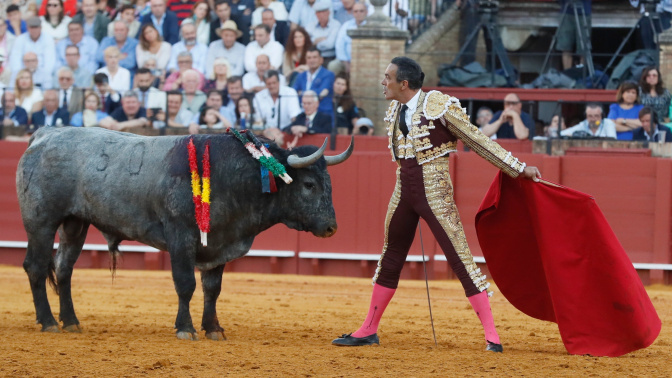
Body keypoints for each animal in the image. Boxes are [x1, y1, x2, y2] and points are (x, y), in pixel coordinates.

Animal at [15, 126, 354, 340]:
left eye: (330, 184)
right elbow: (186, 284)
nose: (331, 227)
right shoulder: (181, 236)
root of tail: (44, 134)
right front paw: (186, 329)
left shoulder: (220, 241)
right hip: (41, 222)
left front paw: (214, 329)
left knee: (64, 268)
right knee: (35, 267)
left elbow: (212, 289)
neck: (232, 175)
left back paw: (71, 322)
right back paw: (48, 322)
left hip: (75, 223)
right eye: (309, 184)